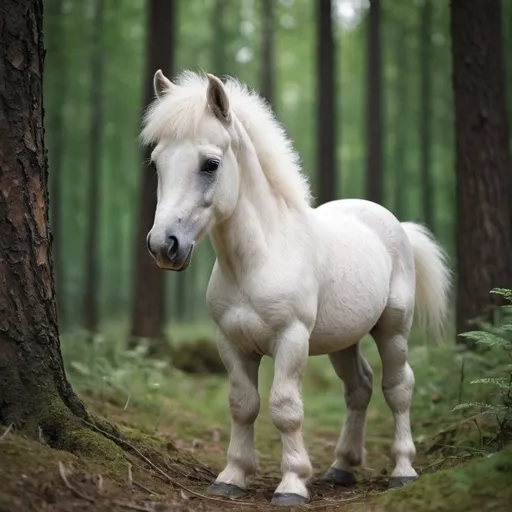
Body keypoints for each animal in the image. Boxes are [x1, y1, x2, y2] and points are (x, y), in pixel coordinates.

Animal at [142, 70, 450, 506]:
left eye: (211, 164)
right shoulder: (231, 342)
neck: (259, 259)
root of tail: (396, 226)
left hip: (393, 330)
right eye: (157, 164)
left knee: (398, 388)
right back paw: (341, 467)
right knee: (359, 387)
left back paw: (403, 470)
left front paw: (292, 484)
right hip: (343, 340)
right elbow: (242, 404)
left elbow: (285, 408)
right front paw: (232, 476)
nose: (163, 245)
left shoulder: (292, 339)